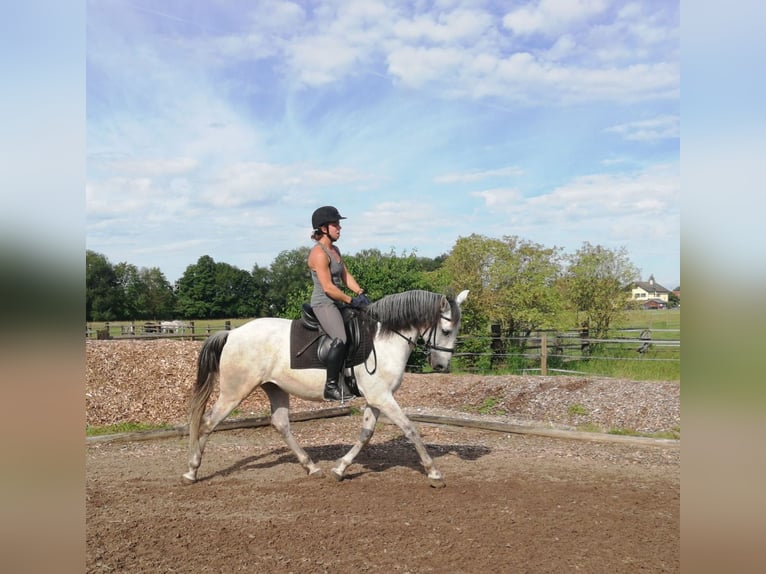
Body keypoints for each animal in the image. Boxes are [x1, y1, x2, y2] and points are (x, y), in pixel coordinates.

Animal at [183, 290, 472, 488]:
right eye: (446, 330)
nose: (441, 365)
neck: (384, 340)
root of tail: (232, 334)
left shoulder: (376, 398)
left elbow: (366, 434)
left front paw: (340, 468)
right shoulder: (383, 397)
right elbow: (411, 429)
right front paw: (434, 473)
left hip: (274, 387)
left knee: (281, 424)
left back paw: (311, 467)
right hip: (235, 391)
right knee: (208, 423)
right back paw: (191, 471)